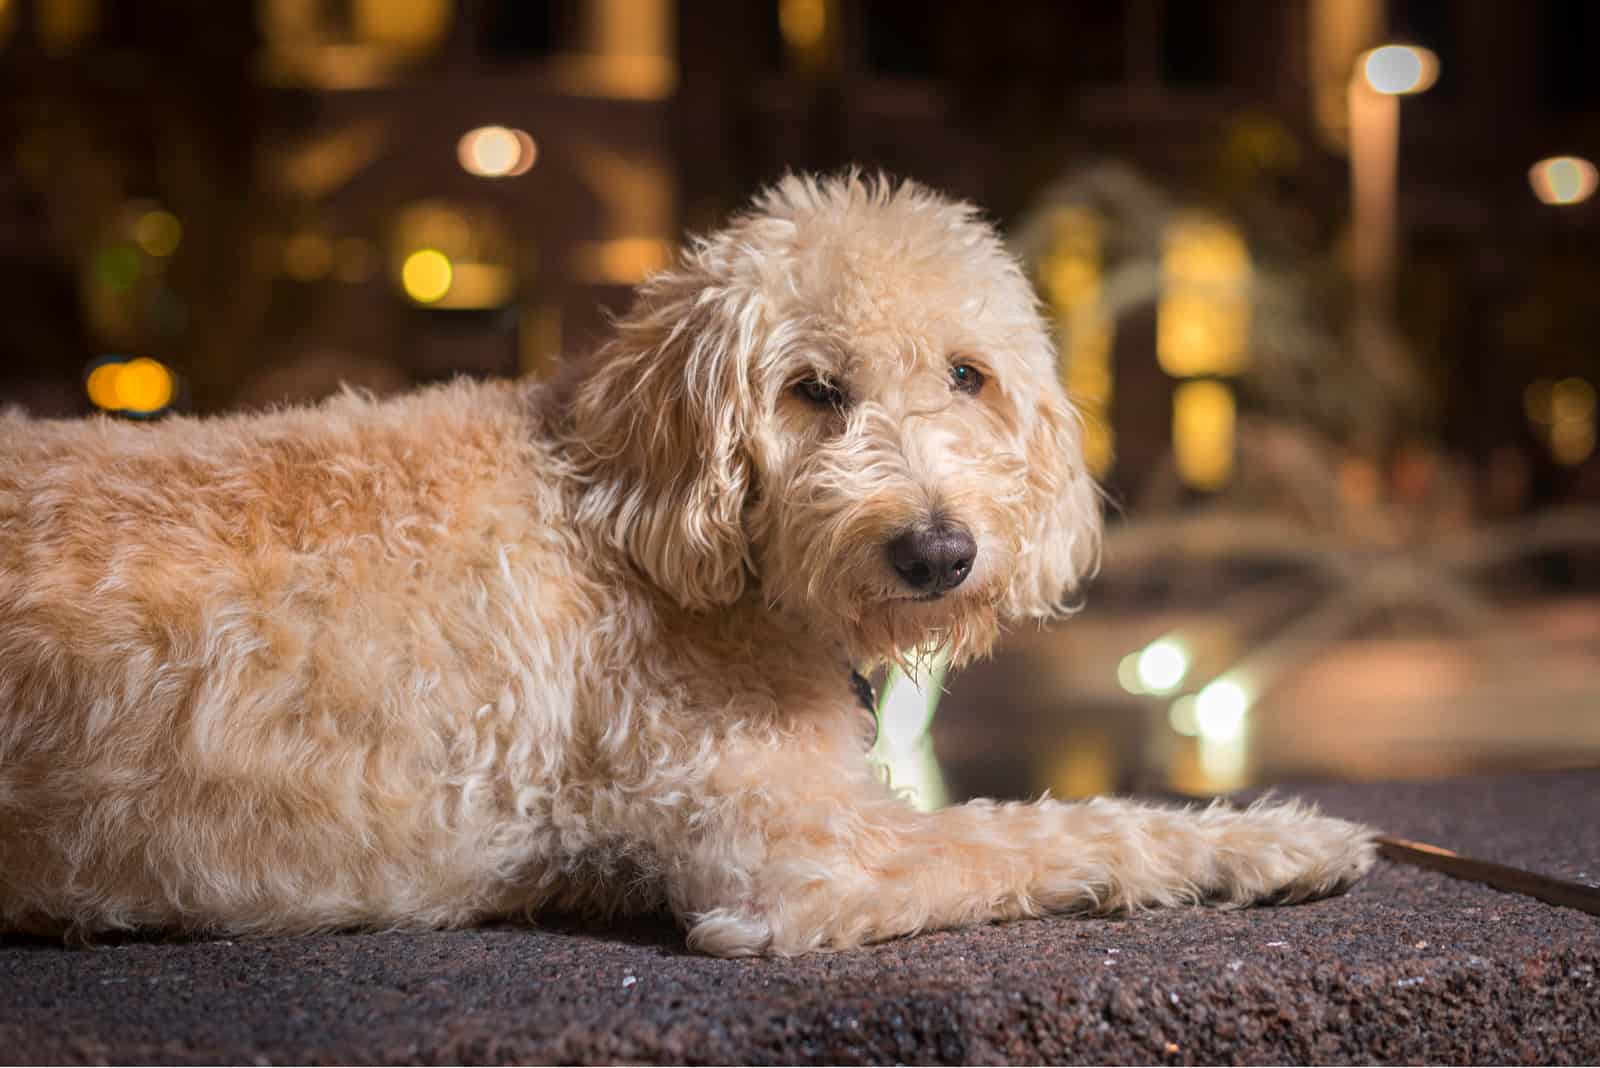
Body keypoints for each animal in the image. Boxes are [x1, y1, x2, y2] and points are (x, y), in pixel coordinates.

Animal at [0, 177, 1376, 959]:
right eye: (813, 390)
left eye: (967, 375)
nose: (937, 551)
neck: (631, 510)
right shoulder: (801, 861)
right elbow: (1057, 828)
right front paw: (1276, 839)